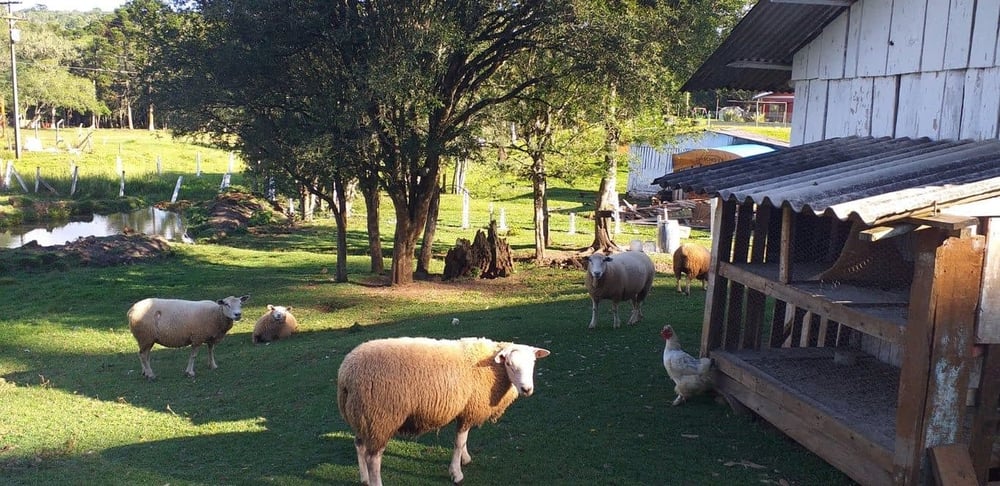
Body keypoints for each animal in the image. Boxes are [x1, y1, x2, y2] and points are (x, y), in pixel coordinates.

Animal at [338, 338, 556, 486]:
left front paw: (465, 459)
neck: (493, 369)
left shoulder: (465, 409)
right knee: (373, 458)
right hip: (381, 417)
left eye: (533, 363)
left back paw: (364, 479)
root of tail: (346, 375)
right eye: (509, 364)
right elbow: (459, 441)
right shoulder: (469, 408)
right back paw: (375, 481)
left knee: (359, 446)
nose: (527, 389)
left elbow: (463, 440)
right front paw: (456, 473)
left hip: (362, 417)